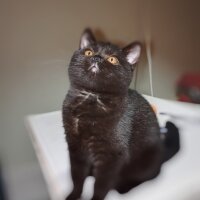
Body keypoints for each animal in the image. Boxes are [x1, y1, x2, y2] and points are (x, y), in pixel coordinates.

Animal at [63, 28, 180, 200]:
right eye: (88, 52)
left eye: (112, 59)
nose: (97, 58)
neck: (91, 99)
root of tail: (161, 152)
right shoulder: (75, 147)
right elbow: (77, 176)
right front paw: (73, 196)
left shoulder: (111, 158)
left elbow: (101, 185)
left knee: (148, 175)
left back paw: (123, 187)